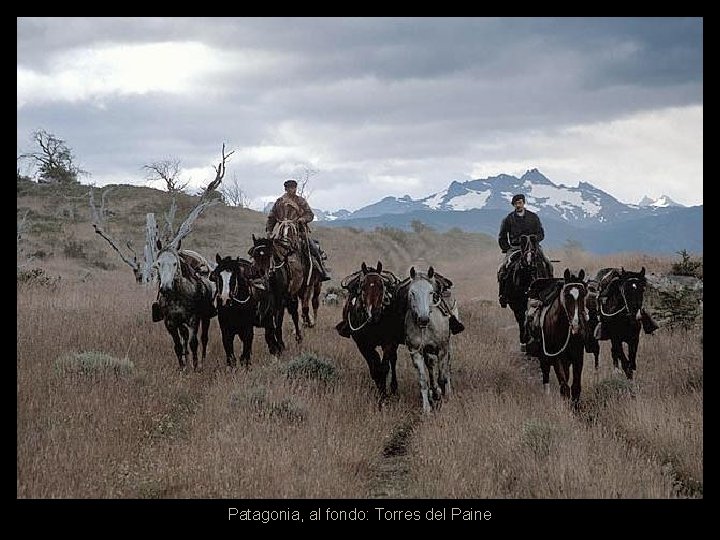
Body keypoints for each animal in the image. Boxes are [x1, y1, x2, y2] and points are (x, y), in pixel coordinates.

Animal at [154, 244, 214, 372]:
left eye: (175, 263)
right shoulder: (170, 323)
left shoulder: (194, 320)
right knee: (184, 336)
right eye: (158, 263)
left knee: (204, 339)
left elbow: (194, 343)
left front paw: (195, 366)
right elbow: (178, 346)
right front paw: (182, 368)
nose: (165, 288)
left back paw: (202, 362)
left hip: (205, 318)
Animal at [336, 262, 404, 404]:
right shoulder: (363, 345)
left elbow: (384, 367)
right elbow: (374, 368)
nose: (374, 313)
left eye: (381, 286)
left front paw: (384, 396)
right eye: (363, 287)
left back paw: (394, 388)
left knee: (393, 360)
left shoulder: (389, 342)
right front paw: (381, 391)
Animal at [404, 266, 450, 414]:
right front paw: (426, 408)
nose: (423, 319)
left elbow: (441, 378)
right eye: (412, 292)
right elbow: (423, 381)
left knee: (446, 370)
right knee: (430, 367)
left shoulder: (442, 350)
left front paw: (441, 401)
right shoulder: (416, 352)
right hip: (427, 353)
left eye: (430, 292)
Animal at [524, 268, 588, 404]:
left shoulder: (578, 356)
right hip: (544, 357)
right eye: (566, 295)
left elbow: (576, 387)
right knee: (546, 375)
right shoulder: (556, 357)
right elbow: (564, 386)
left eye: (583, 294)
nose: (576, 325)